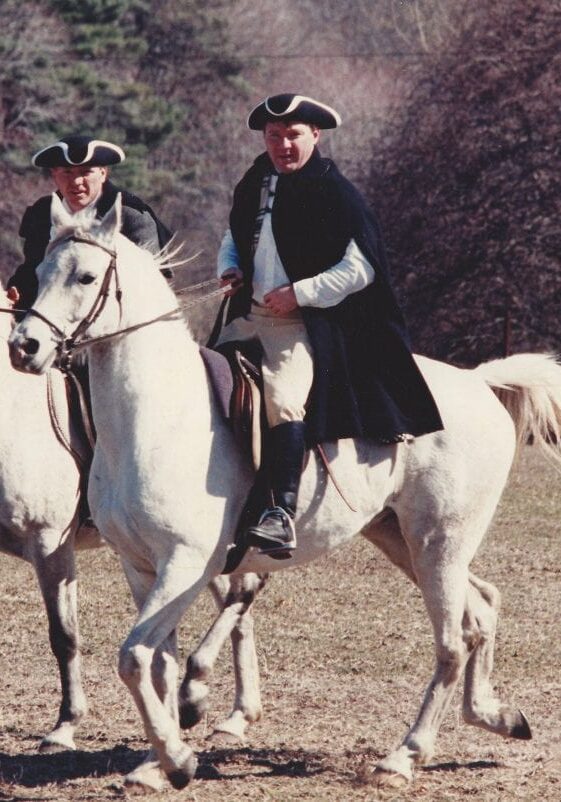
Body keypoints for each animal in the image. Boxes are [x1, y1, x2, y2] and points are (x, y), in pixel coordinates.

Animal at [8, 192, 561, 792]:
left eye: (86, 276)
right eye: (39, 273)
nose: (24, 347)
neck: (156, 415)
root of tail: (478, 382)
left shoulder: (183, 564)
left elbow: (134, 657)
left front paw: (175, 760)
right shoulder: (143, 567)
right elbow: (158, 663)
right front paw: (160, 761)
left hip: (440, 545)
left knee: (452, 643)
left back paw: (402, 757)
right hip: (403, 540)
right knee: (481, 609)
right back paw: (496, 716)